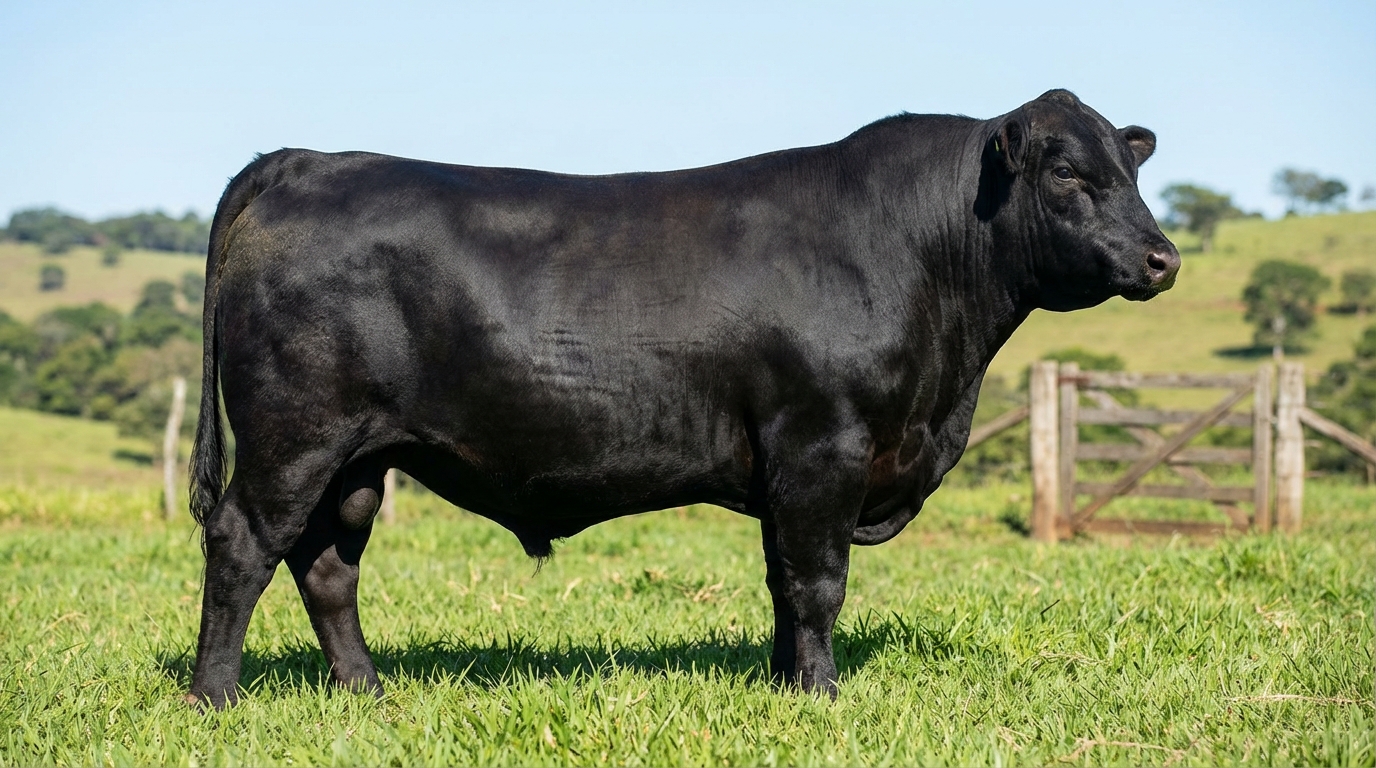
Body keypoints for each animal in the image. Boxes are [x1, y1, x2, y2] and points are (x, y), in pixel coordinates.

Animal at [184, 89, 1179, 708]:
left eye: (1132, 172)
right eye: (1065, 173)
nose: (1162, 257)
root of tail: (304, 161)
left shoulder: (788, 466)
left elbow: (782, 582)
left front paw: (786, 686)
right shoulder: (823, 445)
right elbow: (818, 582)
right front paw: (825, 694)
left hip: (358, 457)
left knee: (326, 564)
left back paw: (366, 690)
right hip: (293, 436)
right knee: (242, 543)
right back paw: (215, 698)